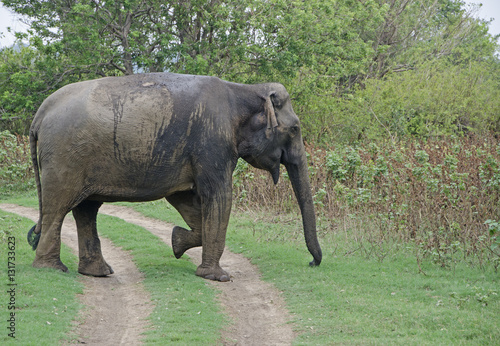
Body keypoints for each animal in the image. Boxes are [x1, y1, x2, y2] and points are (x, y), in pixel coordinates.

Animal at [27, 72, 322, 282]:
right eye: (295, 129)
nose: (312, 262)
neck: (246, 89)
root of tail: (40, 114)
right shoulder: (213, 142)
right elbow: (219, 196)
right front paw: (218, 277)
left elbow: (185, 199)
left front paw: (176, 243)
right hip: (65, 157)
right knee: (59, 208)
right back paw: (52, 270)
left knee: (86, 209)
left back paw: (97, 272)